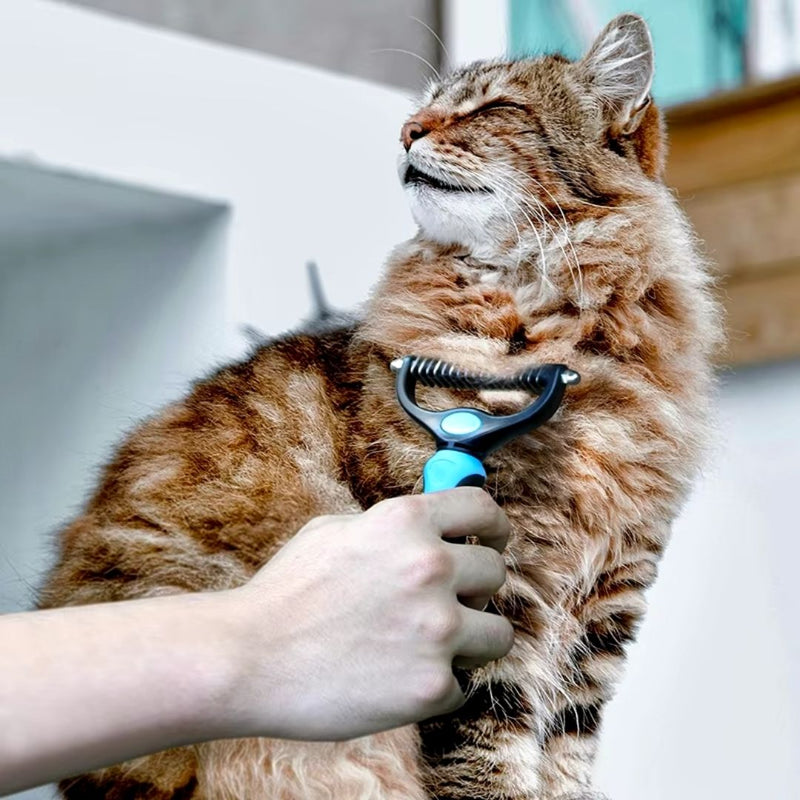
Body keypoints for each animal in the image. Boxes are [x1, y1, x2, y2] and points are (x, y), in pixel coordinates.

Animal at [40, 14, 720, 800]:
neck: (553, 331)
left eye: (492, 108)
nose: (406, 131)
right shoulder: (498, 592)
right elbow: (491, 757)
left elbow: (563, 755)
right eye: (424, 109)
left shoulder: (609, 604)